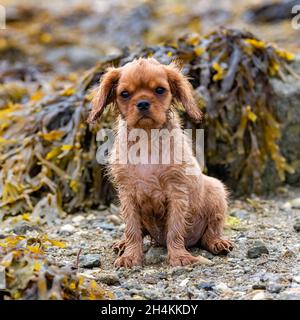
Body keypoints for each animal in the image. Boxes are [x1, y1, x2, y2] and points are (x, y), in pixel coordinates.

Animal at [88, 58, 233, 268]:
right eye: (125, 94)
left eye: (159, 90)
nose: (142, 103)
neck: (147, 137)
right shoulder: (128, 195)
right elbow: (132, 230)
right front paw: (130, 256)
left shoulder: (177, 193)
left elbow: (175, 229)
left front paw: (179, 256)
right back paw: (122, 244)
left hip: (216, 190)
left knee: (211, 232)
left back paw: (218, 243)